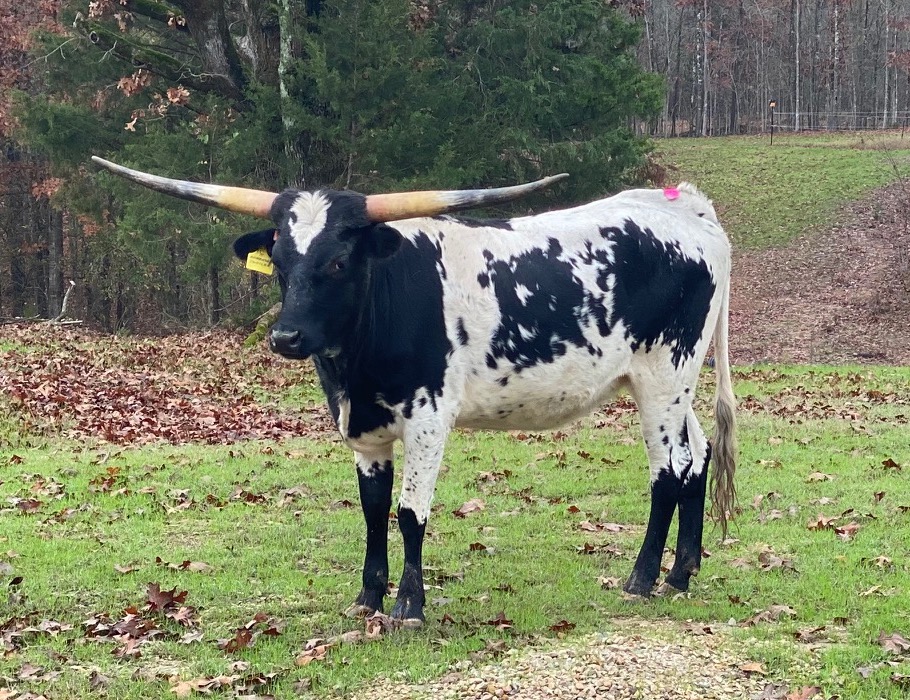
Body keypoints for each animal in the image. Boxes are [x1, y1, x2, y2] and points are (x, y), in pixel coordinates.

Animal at [92, 157, 736, 624]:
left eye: (340, 261)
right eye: (278, 258)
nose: (286, 336)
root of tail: (687, 207)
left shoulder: (428, 418)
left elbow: (409, 512)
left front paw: (409, 605)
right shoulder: (365, 429)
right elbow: (373, 510)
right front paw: (367, 598)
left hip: (663, 376)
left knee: (668, 471)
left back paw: (643, 578)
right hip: (671, 384)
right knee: (698, 456)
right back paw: (682, 573)